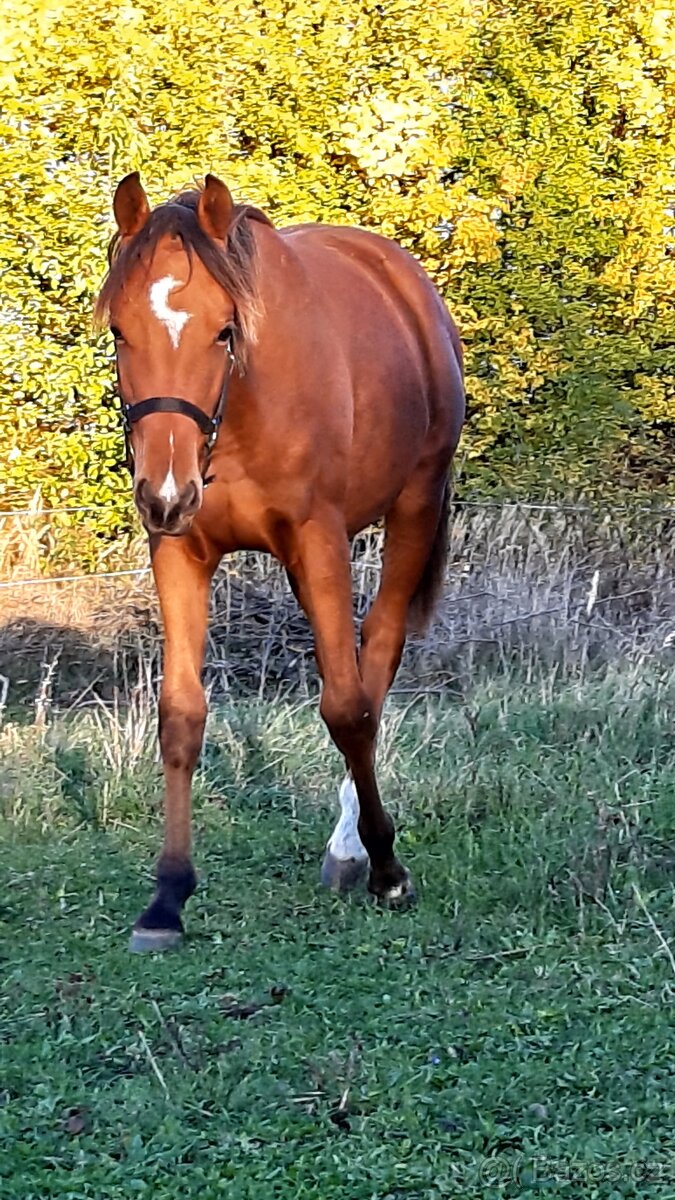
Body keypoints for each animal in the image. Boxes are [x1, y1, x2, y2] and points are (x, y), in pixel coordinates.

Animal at [96, 173, 465, 951]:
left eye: (224, 330)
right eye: (119, 332)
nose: (165, 492)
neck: (238, 415)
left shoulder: (318, 542)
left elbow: (348, 708)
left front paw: (387, 868)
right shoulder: (179, 551)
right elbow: (181, 715)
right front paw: (167, 897)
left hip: (413, 510)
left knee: (377, 657)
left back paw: (352, 848)